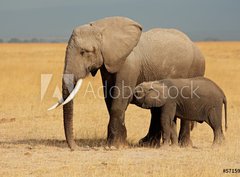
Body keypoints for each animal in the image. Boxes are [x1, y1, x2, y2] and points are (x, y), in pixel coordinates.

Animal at [48, 16, 204, 150]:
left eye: (84, 52)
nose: (79, 148)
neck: (102, 28)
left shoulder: (129, 64)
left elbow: (120, 98)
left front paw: (114, 146)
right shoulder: (108, 64)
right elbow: (109, 98)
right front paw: (119, 143)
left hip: (196, 69)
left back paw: (183, 145)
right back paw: (148, 144)